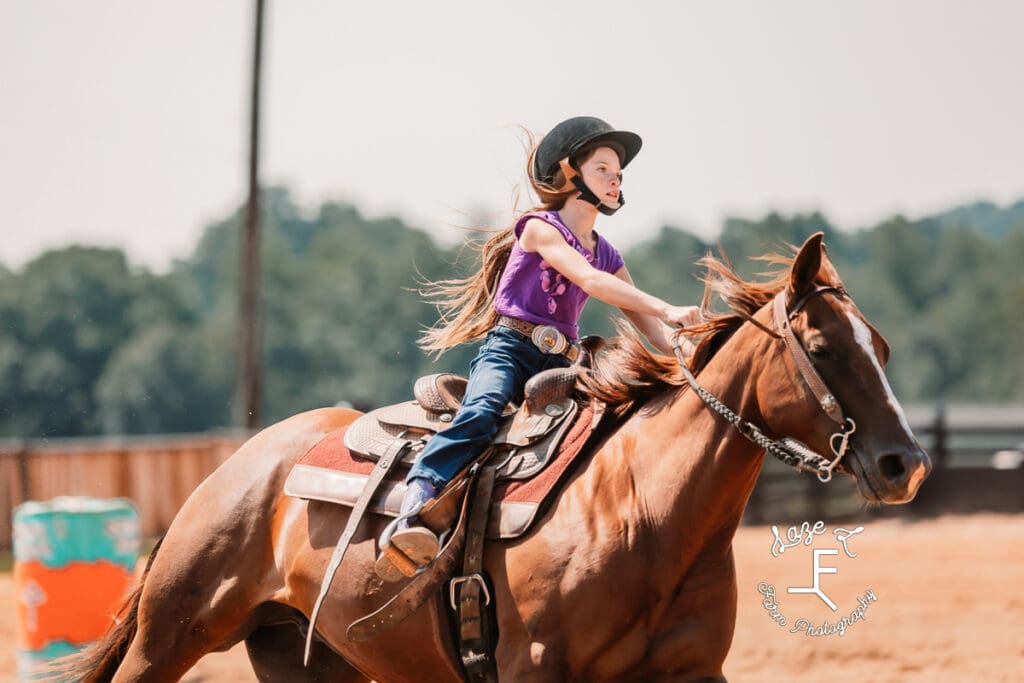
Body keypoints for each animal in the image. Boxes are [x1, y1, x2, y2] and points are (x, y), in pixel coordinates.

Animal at [64, 232, 929, 679]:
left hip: (304, 658)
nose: (904, 465)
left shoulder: (691, 671)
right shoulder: (531, 669)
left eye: (883, 347)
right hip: (170, 634)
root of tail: (238, 465)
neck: (642, 511)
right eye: (823, 345)